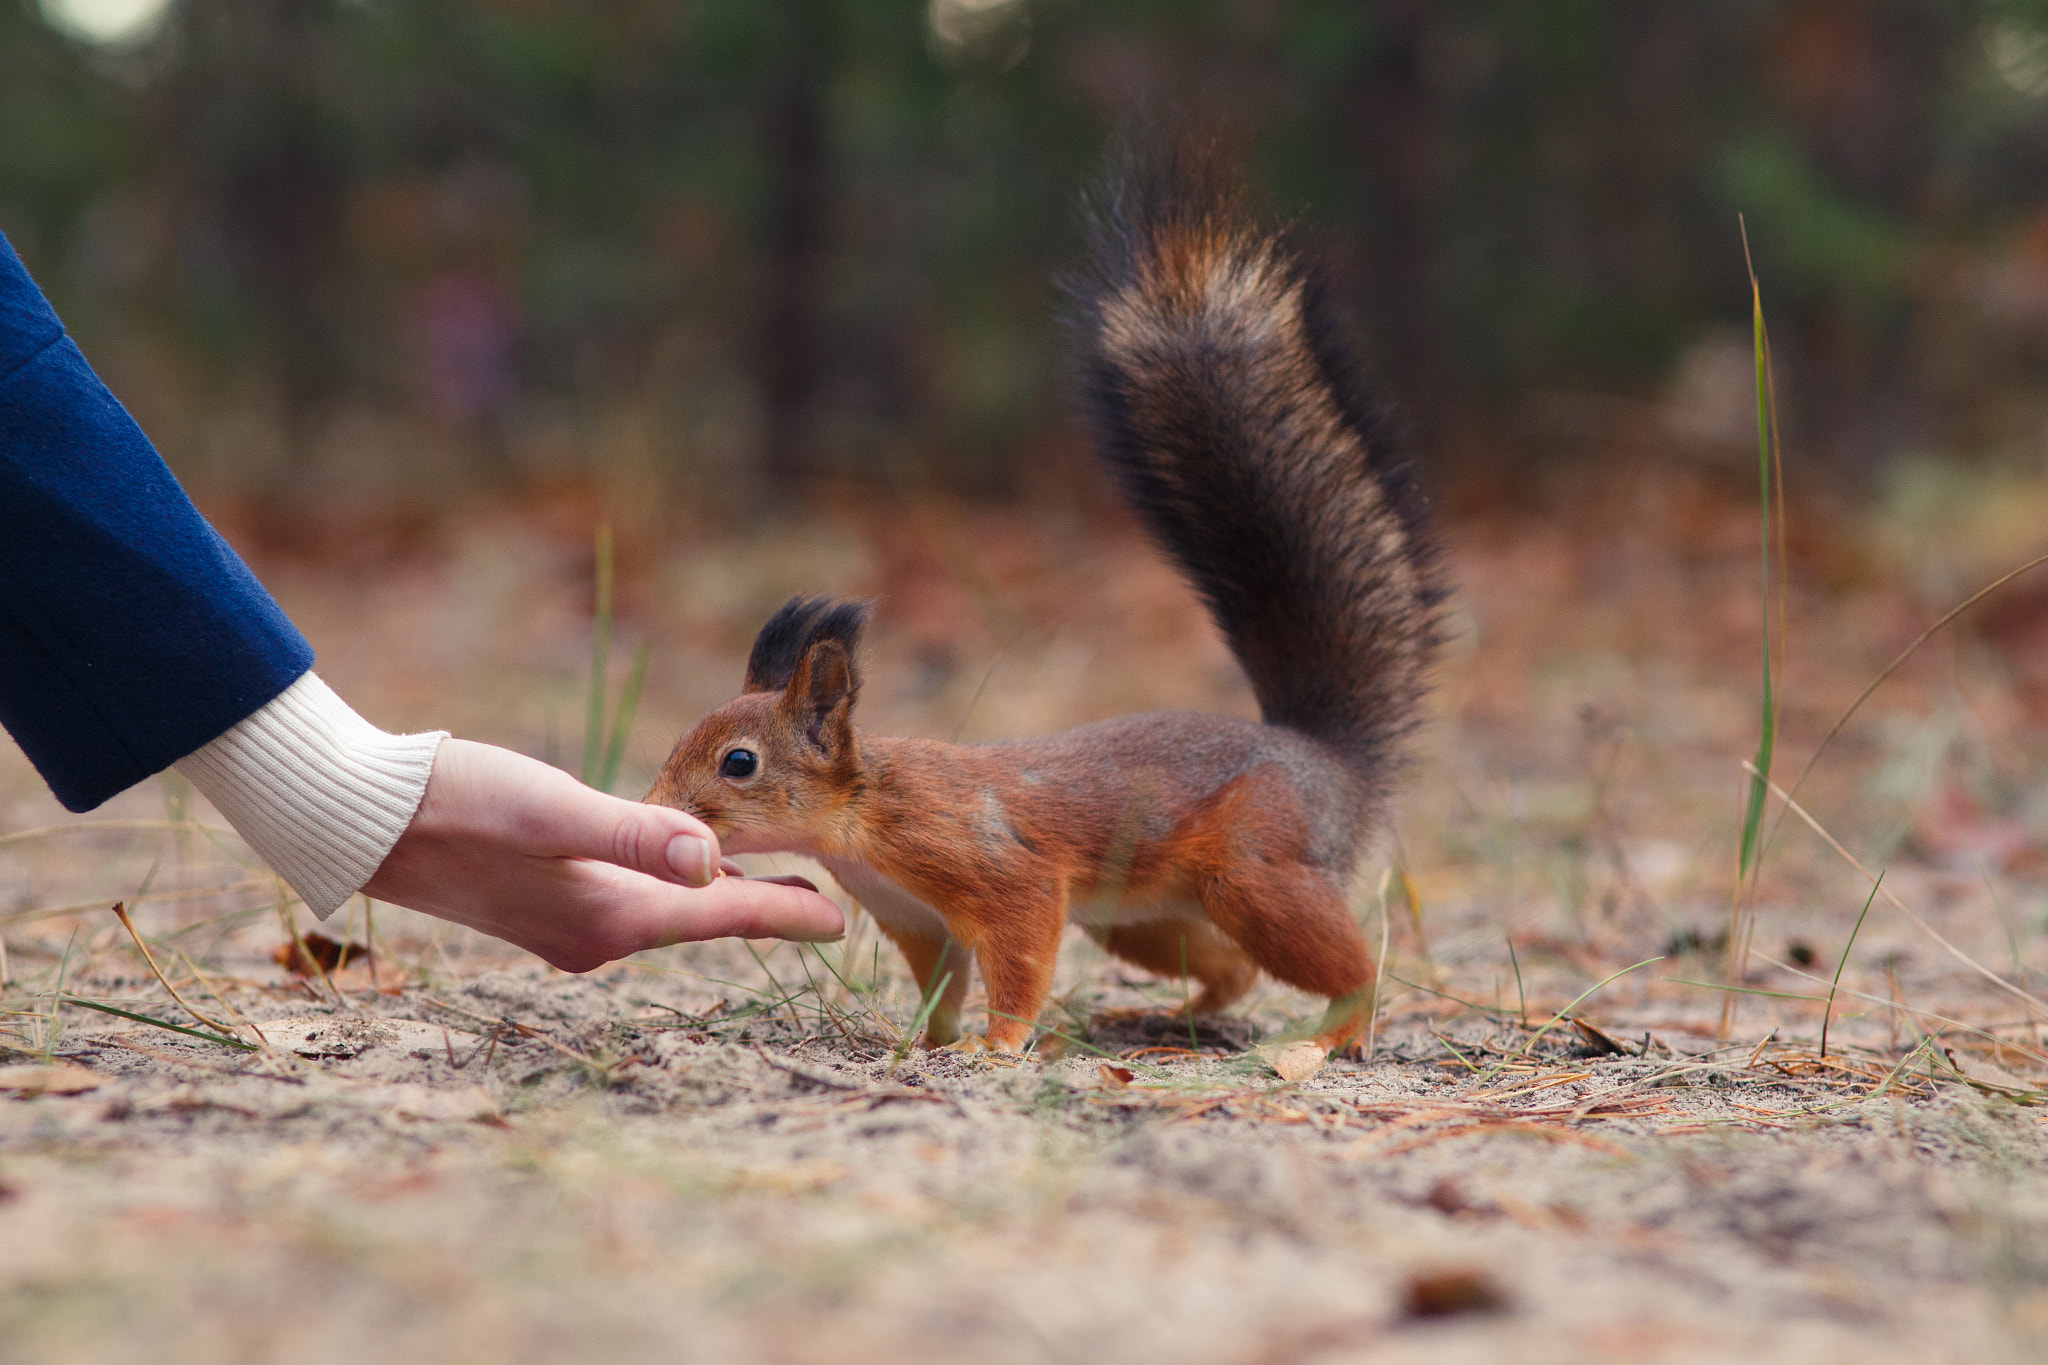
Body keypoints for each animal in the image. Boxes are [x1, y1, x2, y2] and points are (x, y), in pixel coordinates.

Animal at [651, 141, 1441, 1055]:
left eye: (739, 762)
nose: (657, 806)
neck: (862, 812)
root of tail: (1332, 764)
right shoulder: (916, 916)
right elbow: (940, 981)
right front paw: (924, 1041)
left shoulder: (993, 868)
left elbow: (1019, 950)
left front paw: (996, 1046)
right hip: (1138, 912)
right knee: (1232, 969)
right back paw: (1170, 1016)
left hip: (1255, 867)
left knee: (1346, 962)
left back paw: (1329, 1031)